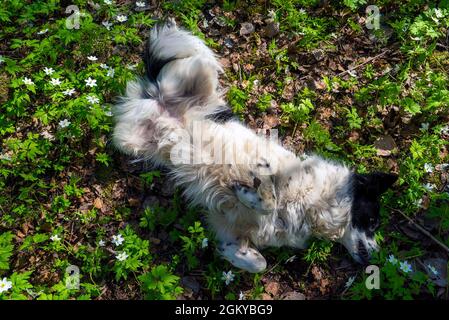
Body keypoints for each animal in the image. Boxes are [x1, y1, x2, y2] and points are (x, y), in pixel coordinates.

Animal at [112, 21, 396, 272]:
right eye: (373, 221)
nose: (377, 258)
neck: (315, 206)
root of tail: (158, 98)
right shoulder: (274, 173)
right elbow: (268, 197)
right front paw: (249, 193)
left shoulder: (228, 226)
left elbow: (259, 263)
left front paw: (236, 254)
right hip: (197, 74)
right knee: (188, 56)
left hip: (131, 140)